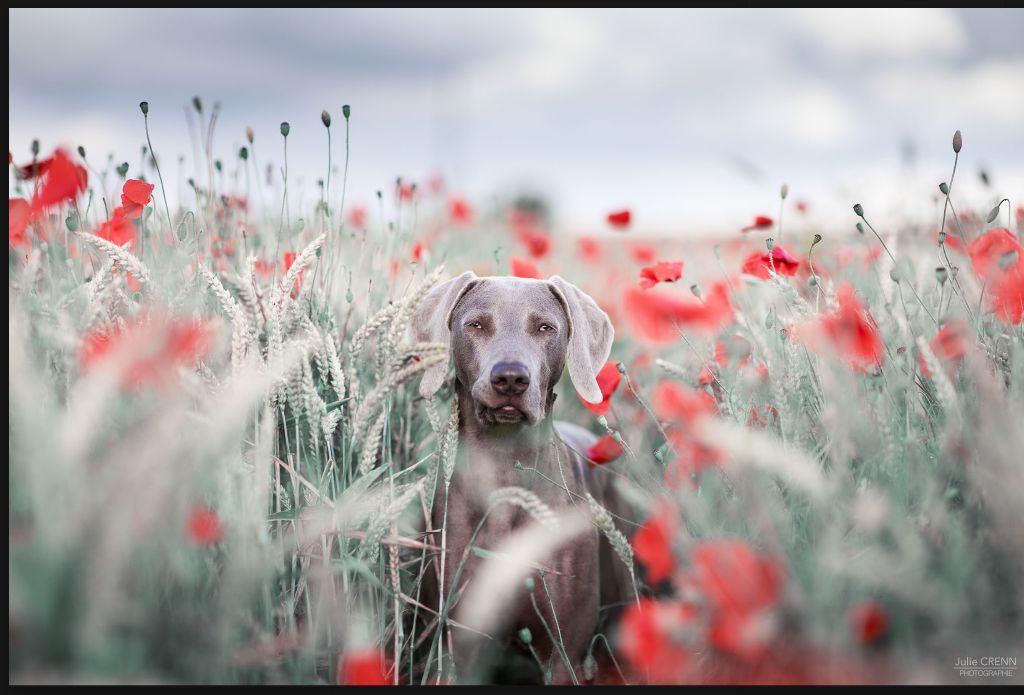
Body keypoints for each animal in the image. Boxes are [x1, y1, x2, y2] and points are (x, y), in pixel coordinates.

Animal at [411, 272, 626, 683]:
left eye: (545, 327)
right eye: (476, 324)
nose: (510, 377)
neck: (504, 465)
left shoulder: (564, 654)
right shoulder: (453, 641)